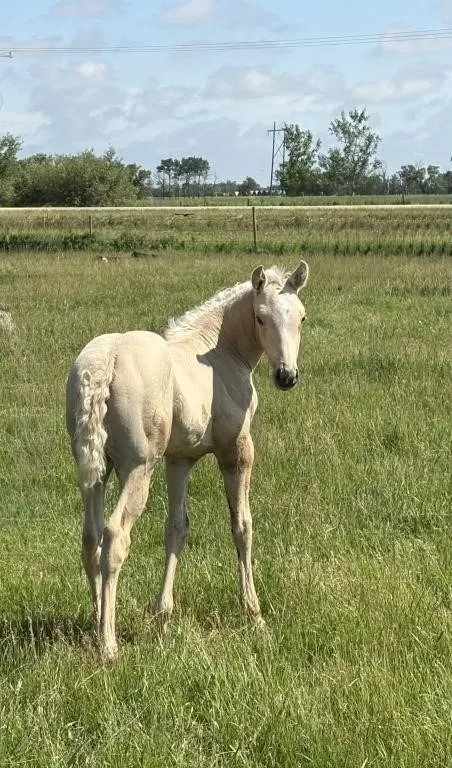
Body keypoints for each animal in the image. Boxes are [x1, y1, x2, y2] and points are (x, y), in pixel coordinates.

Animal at [66, 261, 309, 658]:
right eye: (260, 317)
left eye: (301, 317)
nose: (286, 376)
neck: (219, 352)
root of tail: (105, 363)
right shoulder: (237, 451)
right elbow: (242, 526)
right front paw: (253, 612)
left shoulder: (180, 460)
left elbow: (176, 527)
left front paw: (163, 613)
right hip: (138, 468)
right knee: (114, 537)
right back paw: (108, 644)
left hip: (96, 471)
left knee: (90, 539)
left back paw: (98, 621)